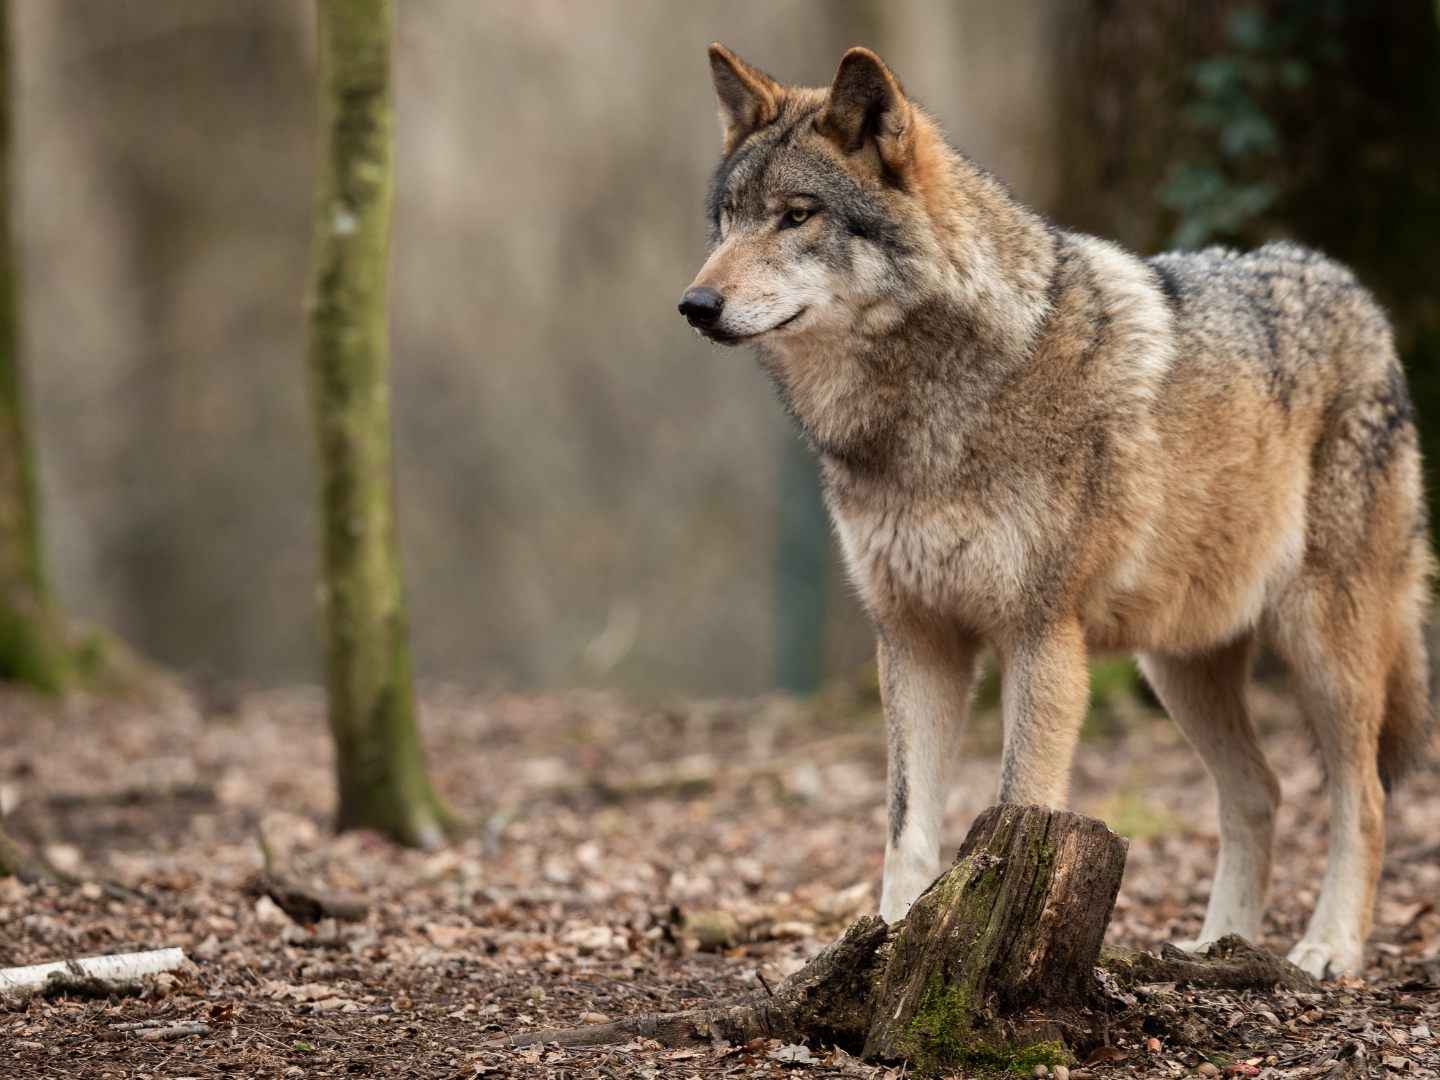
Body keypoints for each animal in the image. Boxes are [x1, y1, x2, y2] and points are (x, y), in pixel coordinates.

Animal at [679, 46, 1434, 984]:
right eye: (727, 220)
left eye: (796, 216)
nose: (695, 307)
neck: (924, 415)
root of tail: (1353, 289)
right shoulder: (916, 639)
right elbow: (905, 828)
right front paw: (887, 947)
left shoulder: (1041, 639)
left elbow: (1015, 810)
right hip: (1178, 667)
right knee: (1260, 791)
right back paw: (1217, 947)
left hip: (1325, 650)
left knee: (1364, 797)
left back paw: (1328, 948)